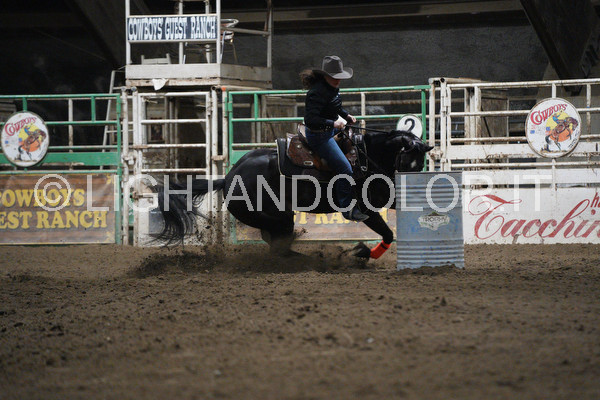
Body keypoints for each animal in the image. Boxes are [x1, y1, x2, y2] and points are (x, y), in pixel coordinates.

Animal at [155, 129, 433, 260]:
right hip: (279, 217)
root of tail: (228, 177)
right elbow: (387, 233)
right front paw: (363, 252)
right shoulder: (367, 208)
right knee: (279, 246)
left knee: (276, 245)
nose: (409, 183)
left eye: (419, 165)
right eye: (405, 162)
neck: (366, 157)